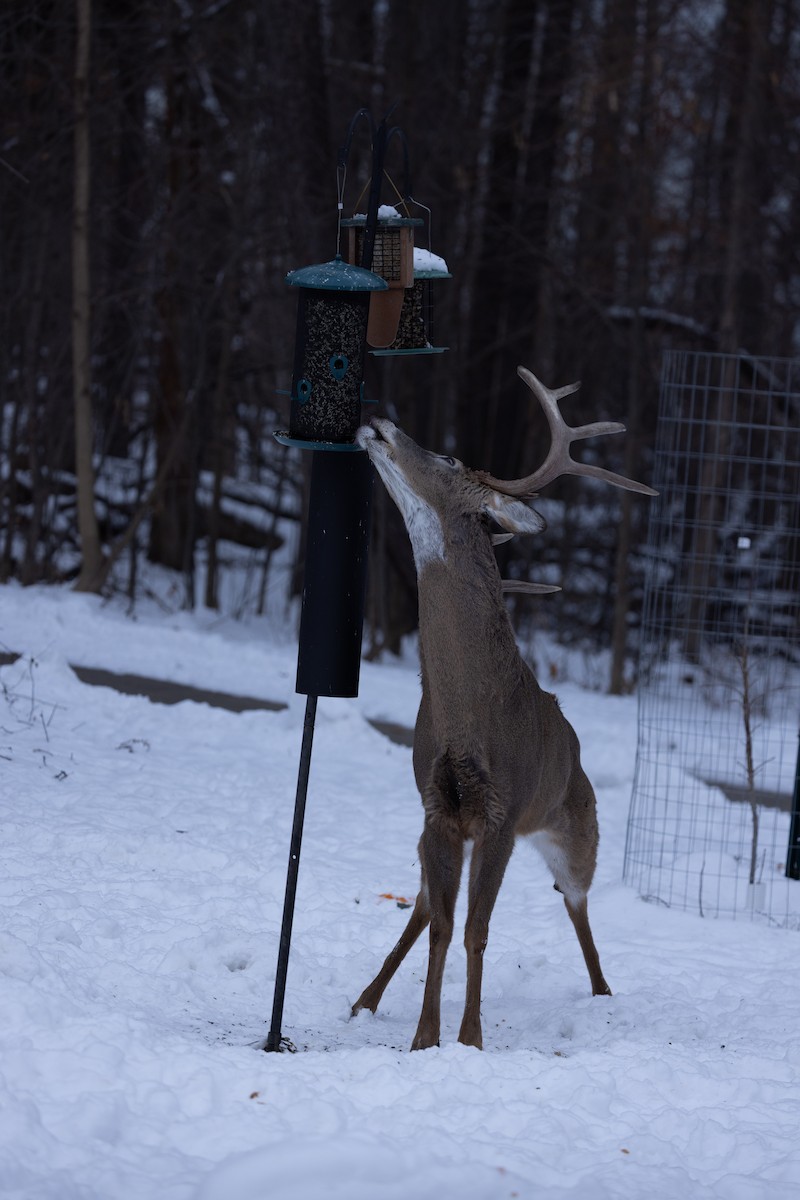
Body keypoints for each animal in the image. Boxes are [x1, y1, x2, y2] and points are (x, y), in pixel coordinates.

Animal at [351, 366, 656, 1051]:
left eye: (448, 457)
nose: (378, 417)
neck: (469, 712)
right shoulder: (437, 809)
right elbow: (442, 924)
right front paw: (425, 1038)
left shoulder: (501, 814)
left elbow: (475, 930)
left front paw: (469, 1039)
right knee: (424, 905)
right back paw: (365, 998)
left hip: (577, 828)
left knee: (577, 902)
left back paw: (603, 992)